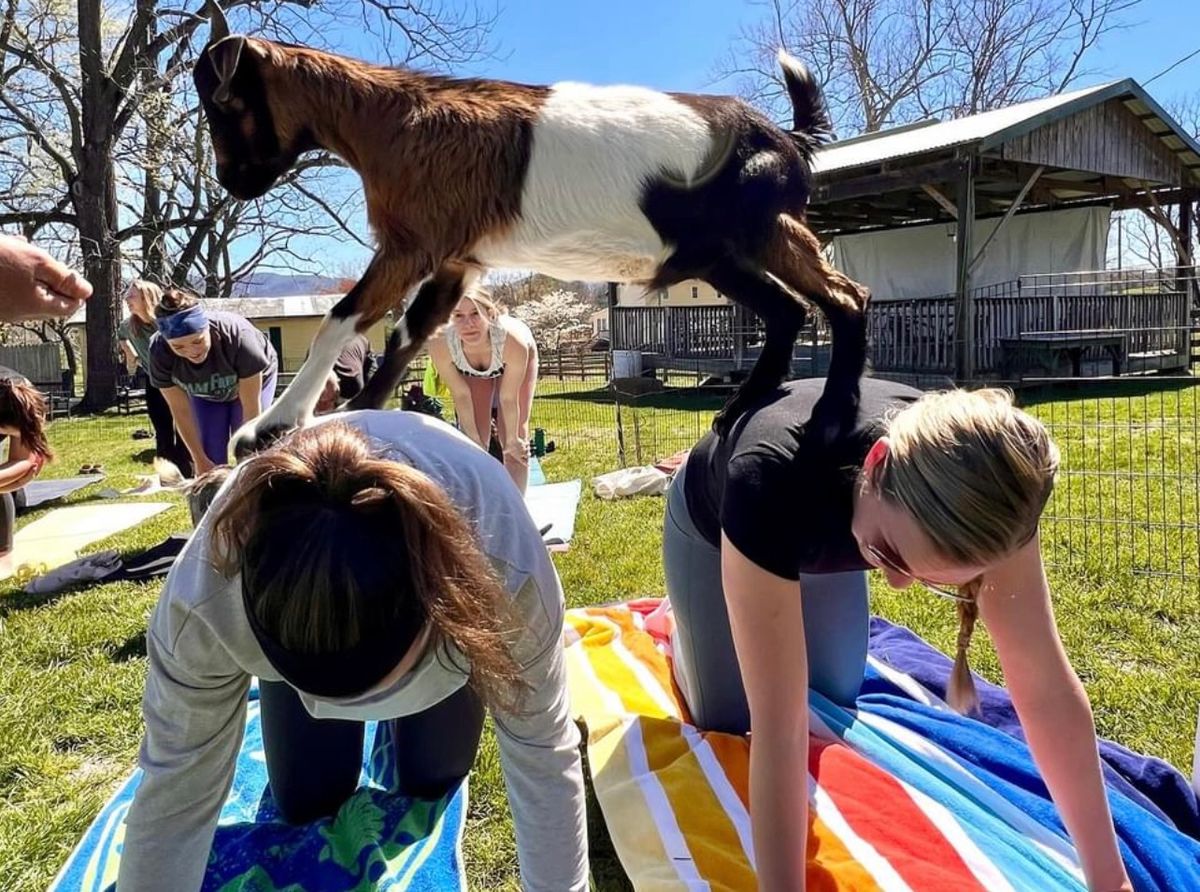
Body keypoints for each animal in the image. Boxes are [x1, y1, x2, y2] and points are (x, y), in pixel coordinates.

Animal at [192, 1, 868, 461]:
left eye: (224, 104)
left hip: (744, 235)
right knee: (792, 307)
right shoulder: (457, 260)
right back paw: (743, 405)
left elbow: (341, 319)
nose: (231, 183)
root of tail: (786, 139)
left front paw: (266, 429)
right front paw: (354, 422)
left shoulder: (413, 244)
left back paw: (829, 418)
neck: (395, 122)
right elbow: (405, 340)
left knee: (843, 298)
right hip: (729, 248)